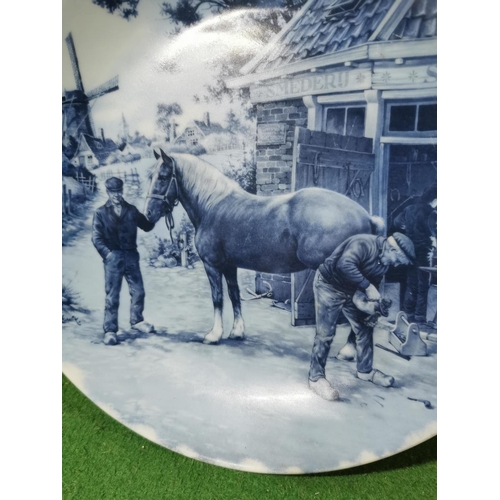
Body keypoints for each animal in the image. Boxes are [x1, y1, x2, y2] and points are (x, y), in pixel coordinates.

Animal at [145, 148, 382, 344]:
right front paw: (237, 332)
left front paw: (214, 335)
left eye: (163, 177)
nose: (147, 214)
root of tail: (367, 217)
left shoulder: (212, 265)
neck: (212, 204)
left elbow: (217, 298)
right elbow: (234, 295)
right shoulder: (229, 266)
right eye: (151, 177)